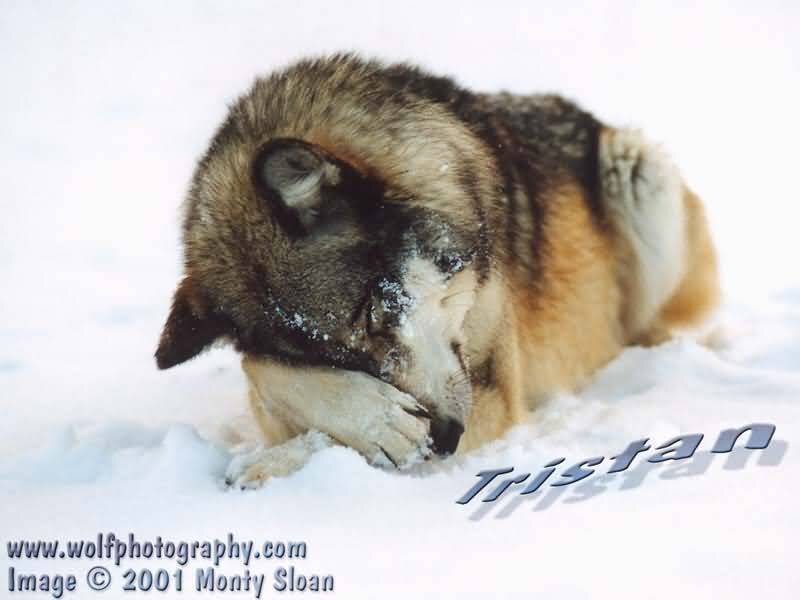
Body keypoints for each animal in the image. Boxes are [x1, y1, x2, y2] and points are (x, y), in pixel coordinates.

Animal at [155, 54, 719, 487]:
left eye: (374, 315)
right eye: (339, 359)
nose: (445, 436)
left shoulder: (492, 392)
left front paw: (275, 464)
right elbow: (262, 367)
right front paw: (378, 425)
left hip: (641, 171)